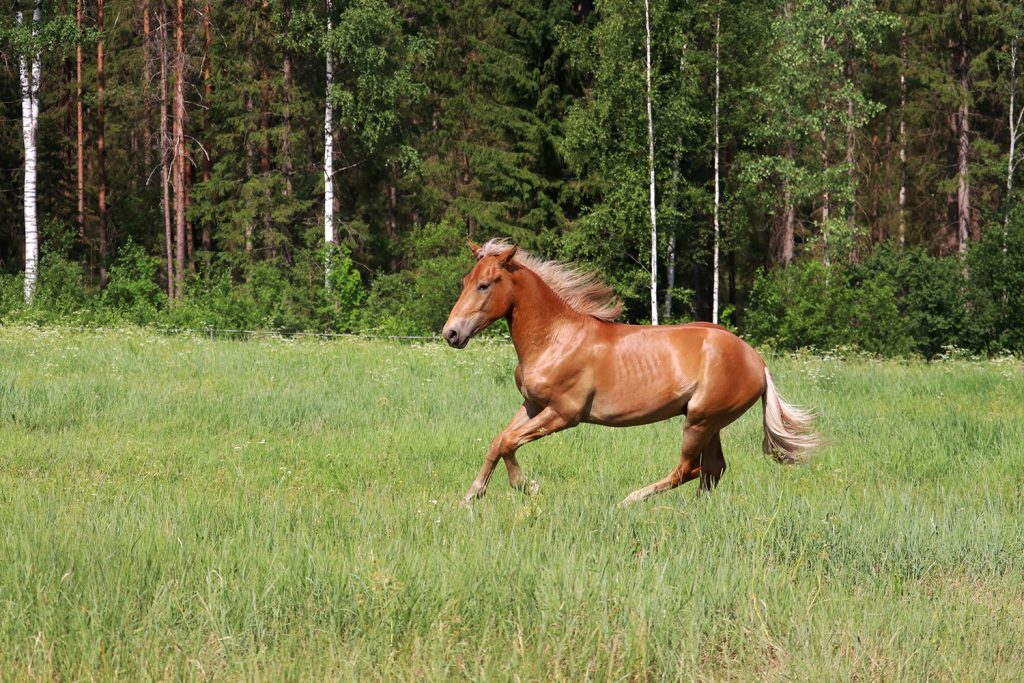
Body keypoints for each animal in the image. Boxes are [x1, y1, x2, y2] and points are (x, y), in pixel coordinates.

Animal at [440, 240, 815, 507]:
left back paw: (630, 500)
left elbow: (508, 443)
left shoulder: (564, 413)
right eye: (465, 281)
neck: (556, 339)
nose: (451, 334)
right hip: (710, 423)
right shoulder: (533, 406)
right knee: (712, 469)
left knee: (688, 468)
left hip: (700, 421)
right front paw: (469, 498)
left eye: (485, 285)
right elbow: (497, 442)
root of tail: (757, 361)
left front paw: (528, 487)